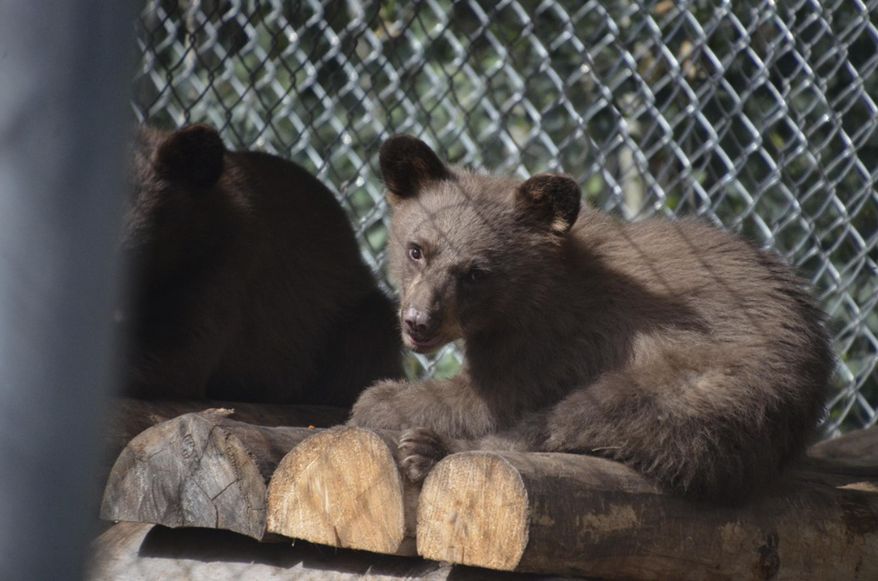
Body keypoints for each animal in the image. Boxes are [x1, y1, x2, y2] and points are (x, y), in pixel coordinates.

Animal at [349, 134, 834, 501]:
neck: (531, 289)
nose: (418, 322)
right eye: (416, 249)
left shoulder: (555, 333)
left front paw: (378, 399)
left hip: (707, 376)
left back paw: (428, 450)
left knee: (586, 415)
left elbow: (492, 400)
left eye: (475, 272)